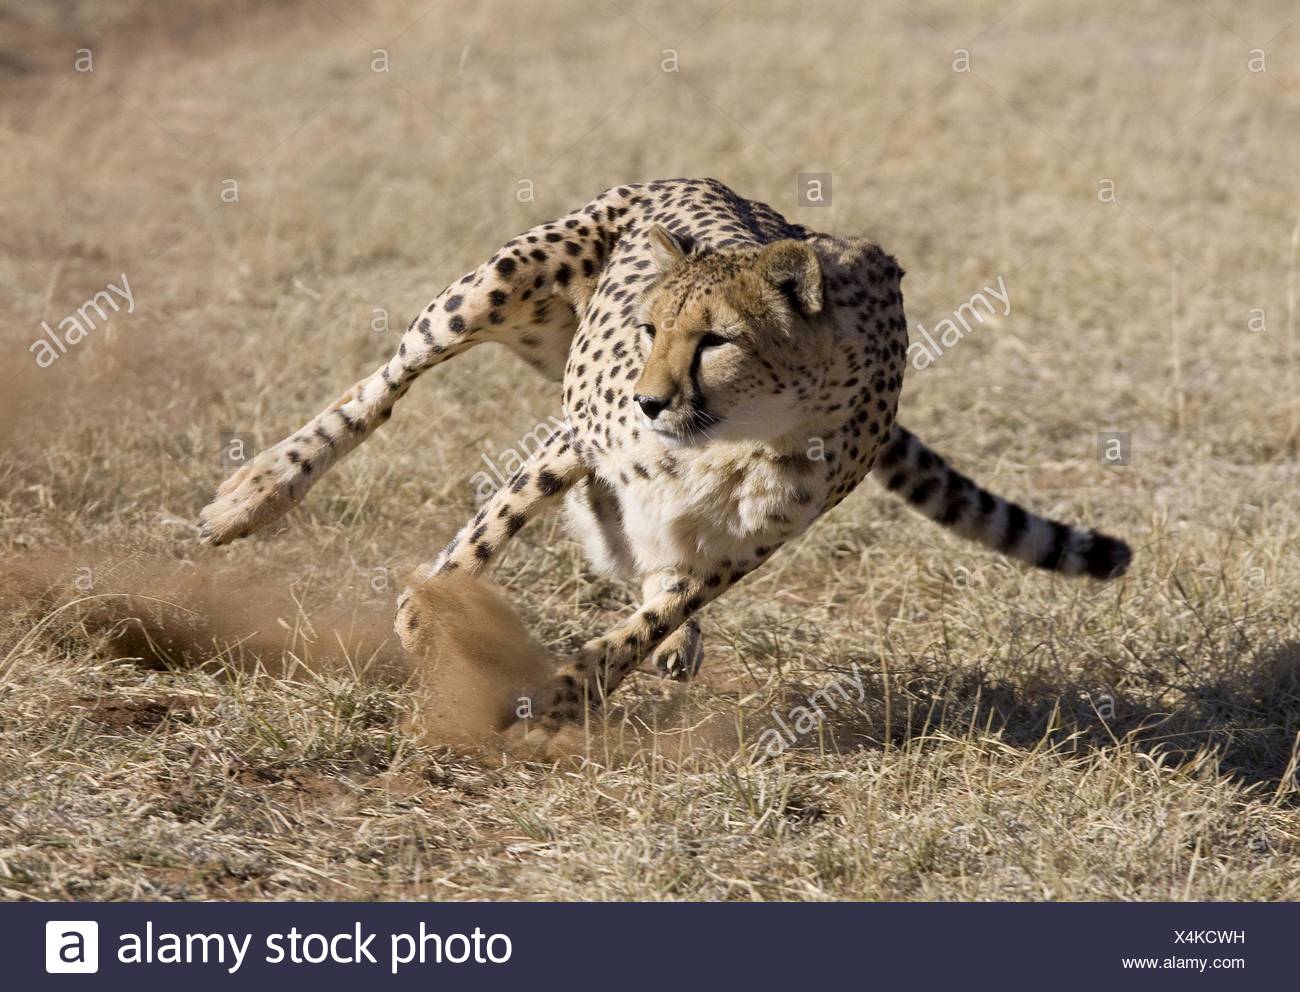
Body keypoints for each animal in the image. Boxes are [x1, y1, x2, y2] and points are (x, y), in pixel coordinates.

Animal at [198, 177, 1131, 747]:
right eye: (650, 329)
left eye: (716, 339)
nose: (649, 398)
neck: (738, 436)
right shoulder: (575, 437)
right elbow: (481, 538)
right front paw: (426, 619)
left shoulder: (753, 541)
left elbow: (650, 618)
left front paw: (571, 695)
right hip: (492, 288)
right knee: (382, 389)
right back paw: (255, 491)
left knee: (647, 553)